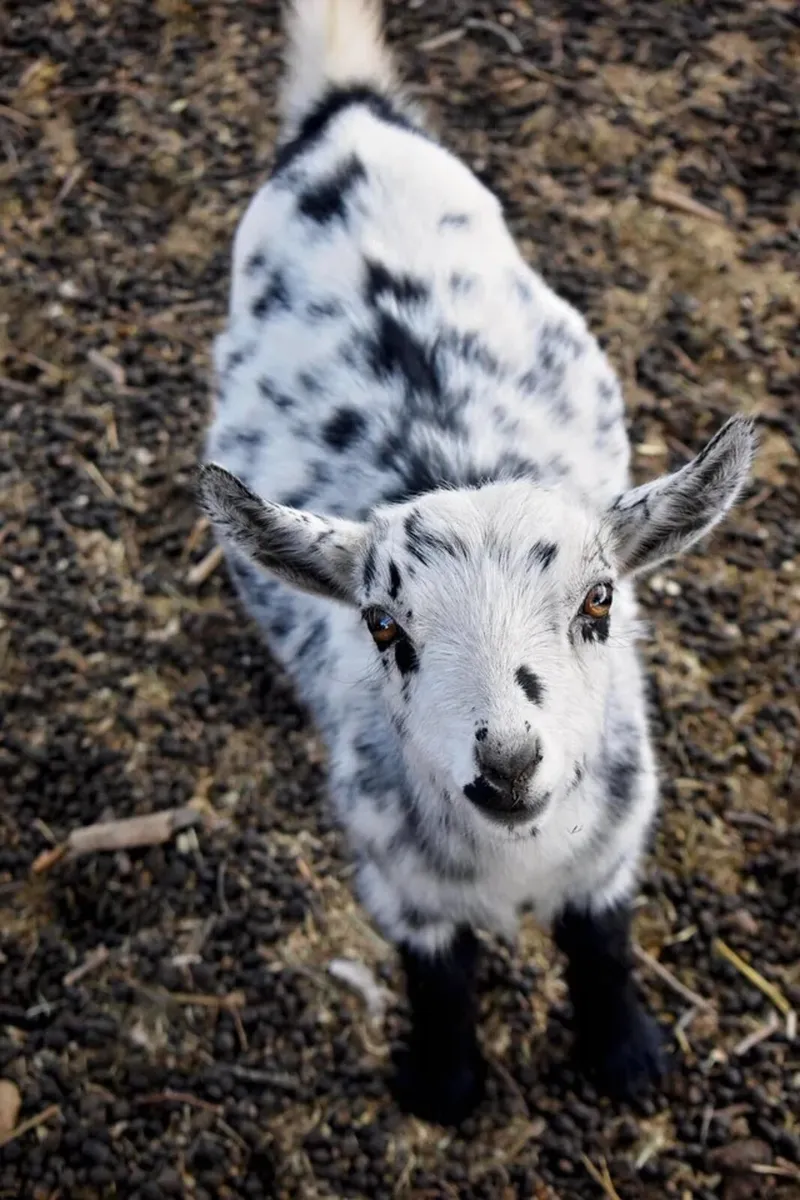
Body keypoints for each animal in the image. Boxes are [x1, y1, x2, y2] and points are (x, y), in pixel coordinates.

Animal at [198, 0, 755, 1125]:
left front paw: (627, 1057)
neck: (513, 860)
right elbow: (437, 977)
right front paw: (446, 1086)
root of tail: (346, 119)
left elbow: (602, 943)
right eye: (384, 627)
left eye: (598, 601)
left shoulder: (617, 837)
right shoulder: (391, 877)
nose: (506, 762)